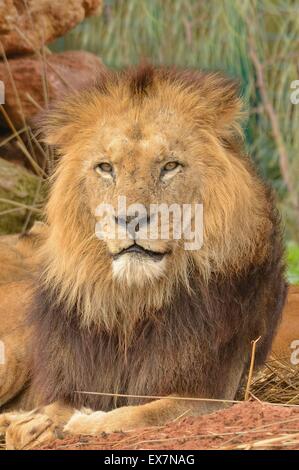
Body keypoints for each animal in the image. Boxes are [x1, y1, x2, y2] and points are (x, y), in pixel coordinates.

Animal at [0, 65, 288, 448]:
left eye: (170, 166)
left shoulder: (210, 394)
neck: (134, 304)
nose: (130, 218)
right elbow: (60, 404)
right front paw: (33, 423)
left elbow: (139, 413)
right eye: (106, 167)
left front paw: (78, 422)